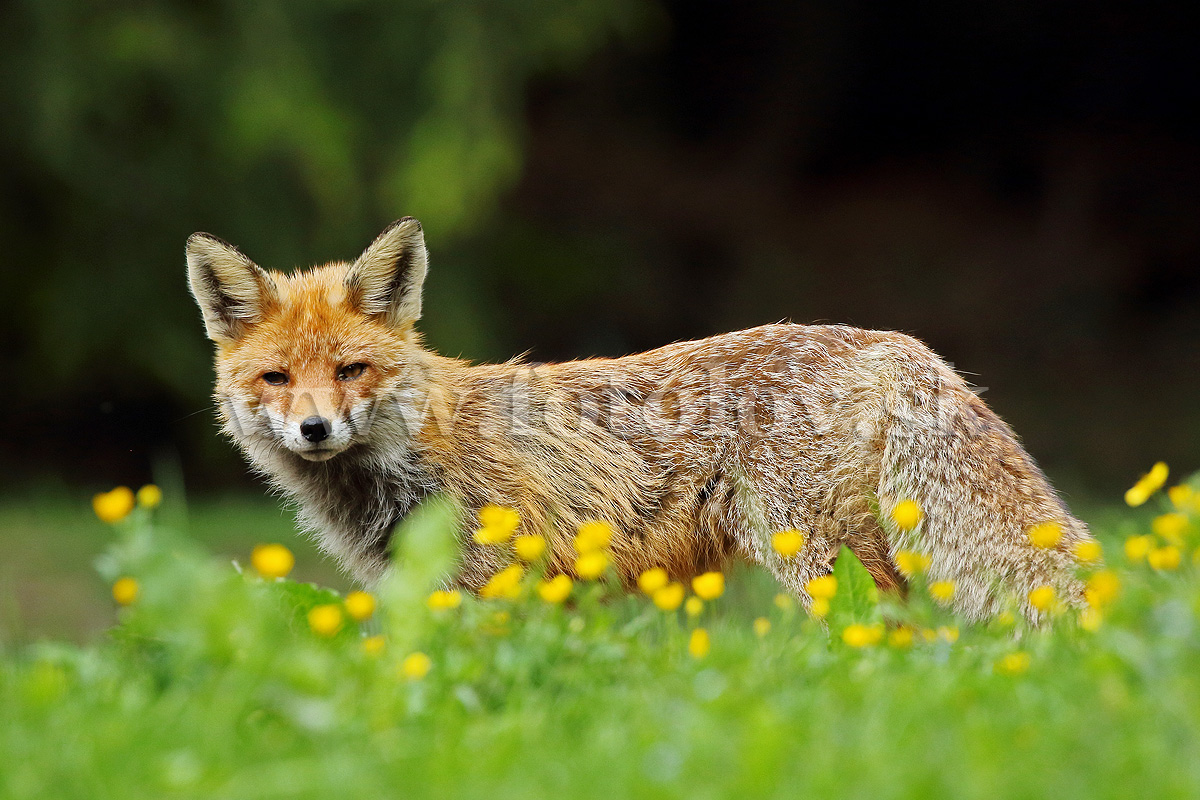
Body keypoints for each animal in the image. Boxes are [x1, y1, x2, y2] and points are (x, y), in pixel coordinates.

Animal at [187, 217, 1099, 618]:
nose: (314, 429)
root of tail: (892, 341)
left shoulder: (499, 580)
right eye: (276, 378)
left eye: (352, 371)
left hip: (808, 552)